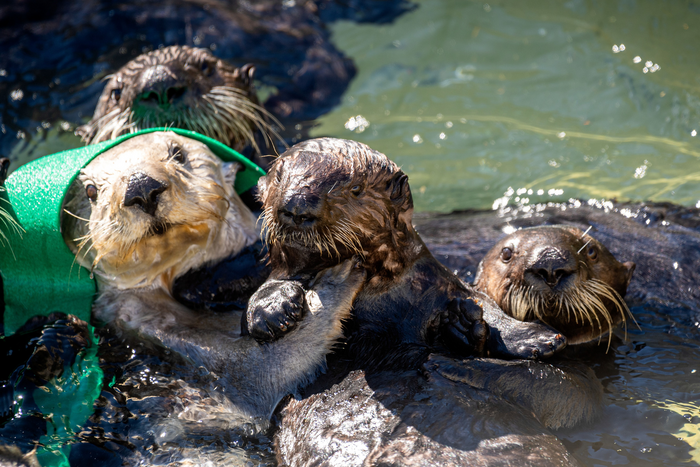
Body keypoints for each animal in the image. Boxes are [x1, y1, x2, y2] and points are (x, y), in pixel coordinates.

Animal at [60, 132, 366, 464]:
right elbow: (259, 371)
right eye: (91, 190)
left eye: (178, 153)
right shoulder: (145, 324)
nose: (140, 186)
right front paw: (331, 280)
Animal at [246, 137, 568, 372]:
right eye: (279, 177)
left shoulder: (436, 282)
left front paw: (536, 337)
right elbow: (277, 281)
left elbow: (487, 306)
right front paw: (271, 309)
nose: (297, 205)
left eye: (356, 188)